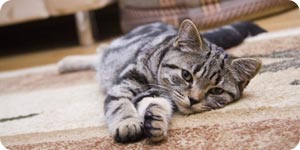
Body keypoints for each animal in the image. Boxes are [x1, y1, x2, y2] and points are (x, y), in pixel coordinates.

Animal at [58, 19, 264, 143]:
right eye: (186, 75)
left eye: (216, 91)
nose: (193, 100)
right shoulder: (125, 82)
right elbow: (119, 103)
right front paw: (127, 123)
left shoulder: (156, 93)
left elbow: (155, 104)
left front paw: (155, 121)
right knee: (99, 53)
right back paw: (65, 63)